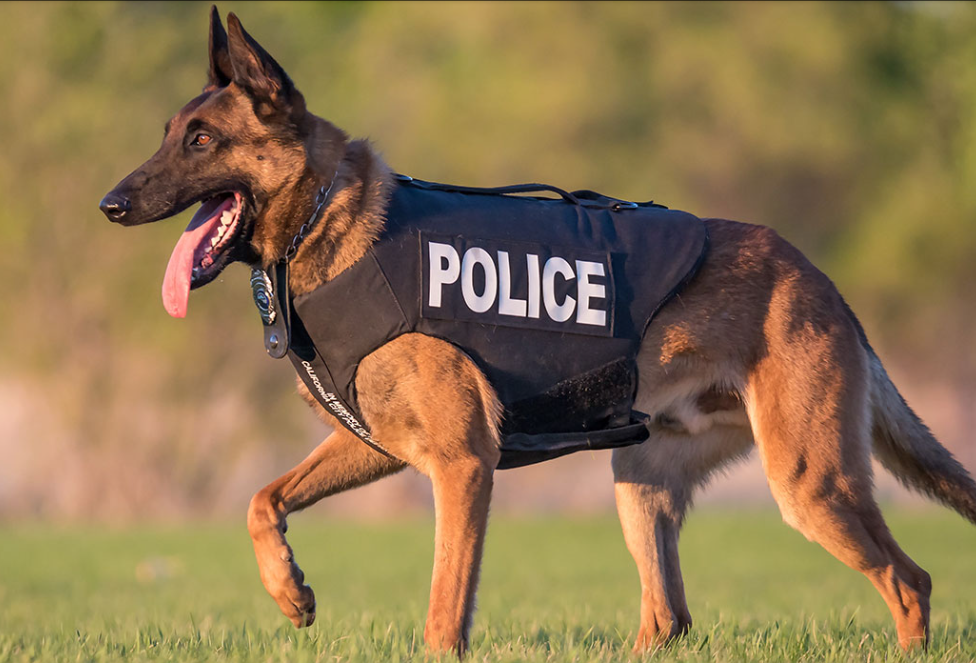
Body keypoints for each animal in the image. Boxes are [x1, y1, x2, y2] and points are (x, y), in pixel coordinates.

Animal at [100, 7, 976, 656]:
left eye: (202, 141)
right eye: (166, 133)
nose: (110, 204)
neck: (328, 219)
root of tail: (819, 278)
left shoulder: (462, 462)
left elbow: (443, 610)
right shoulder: (376, 444)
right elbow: (261, 498)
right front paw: (289, 590)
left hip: (809, 484)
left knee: (911, 583)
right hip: (641, 485)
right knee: (669, 619)